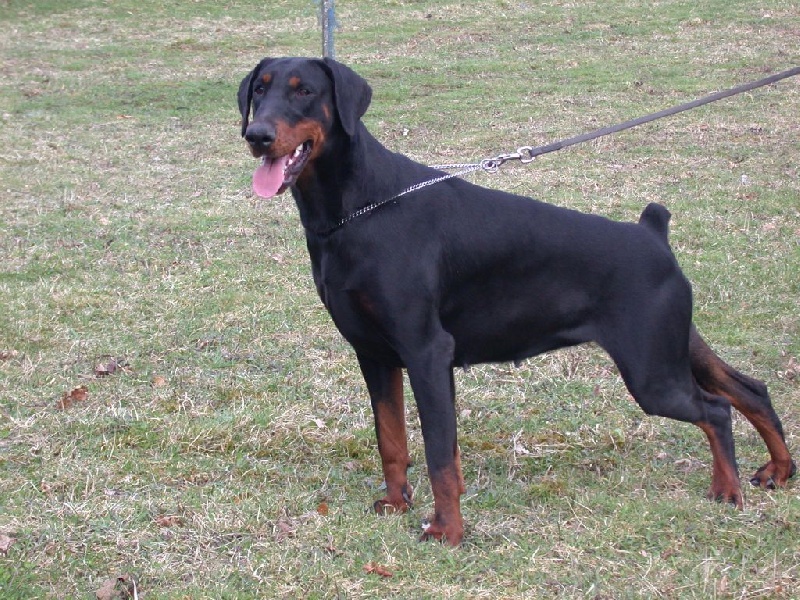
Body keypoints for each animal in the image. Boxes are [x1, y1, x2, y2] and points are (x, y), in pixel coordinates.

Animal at [236, 57, 792, 544]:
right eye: (259, 89)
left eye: (305, 90)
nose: (256, 135)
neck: (358, 209)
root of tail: (652, 233)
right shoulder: (374, 353)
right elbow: (391, 438)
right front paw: (396, 504)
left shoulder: (426, 351)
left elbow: (439, 453)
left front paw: (447, 530)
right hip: (672, 345)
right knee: (749, 389)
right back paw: (778, 470)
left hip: (652, 372)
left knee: (716, 410)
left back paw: (727, 489)